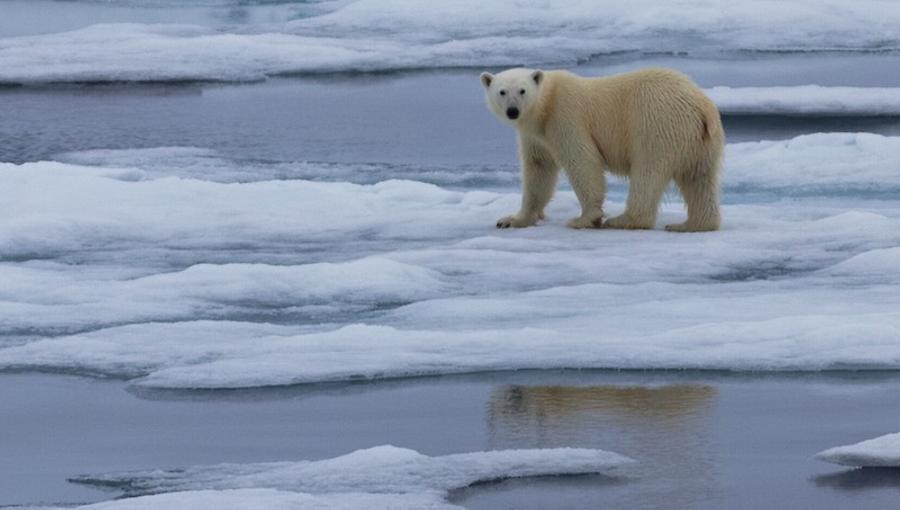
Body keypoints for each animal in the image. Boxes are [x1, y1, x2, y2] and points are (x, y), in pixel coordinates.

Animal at [478, 67, 724, 231]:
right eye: (502, 91)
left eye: (522, 90)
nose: (512, 111)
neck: (545, 105)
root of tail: (702, 106)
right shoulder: (536, 136)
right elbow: (538, 171)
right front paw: (511, 220)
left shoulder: (565, 116)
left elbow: (582, 160)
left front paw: (585, 218)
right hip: (701, 141)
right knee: (699, 178)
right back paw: (691, 224)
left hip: (657, 123)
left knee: (648, 172)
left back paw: (623, 220)